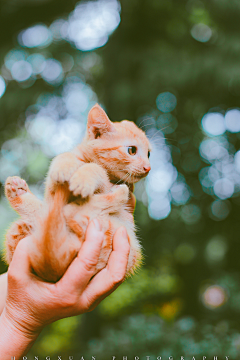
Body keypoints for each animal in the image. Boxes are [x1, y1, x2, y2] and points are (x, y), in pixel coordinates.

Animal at [3, 104, 151, 282]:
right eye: (132, 150)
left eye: (149, 154)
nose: (148, 167)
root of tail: (52, 269)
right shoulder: (52, 192)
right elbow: (66, 158)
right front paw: (63, 166)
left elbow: (97, 169)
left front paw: (84, 177)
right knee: (46, 216)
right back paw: (18, 192)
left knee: (71, 213)